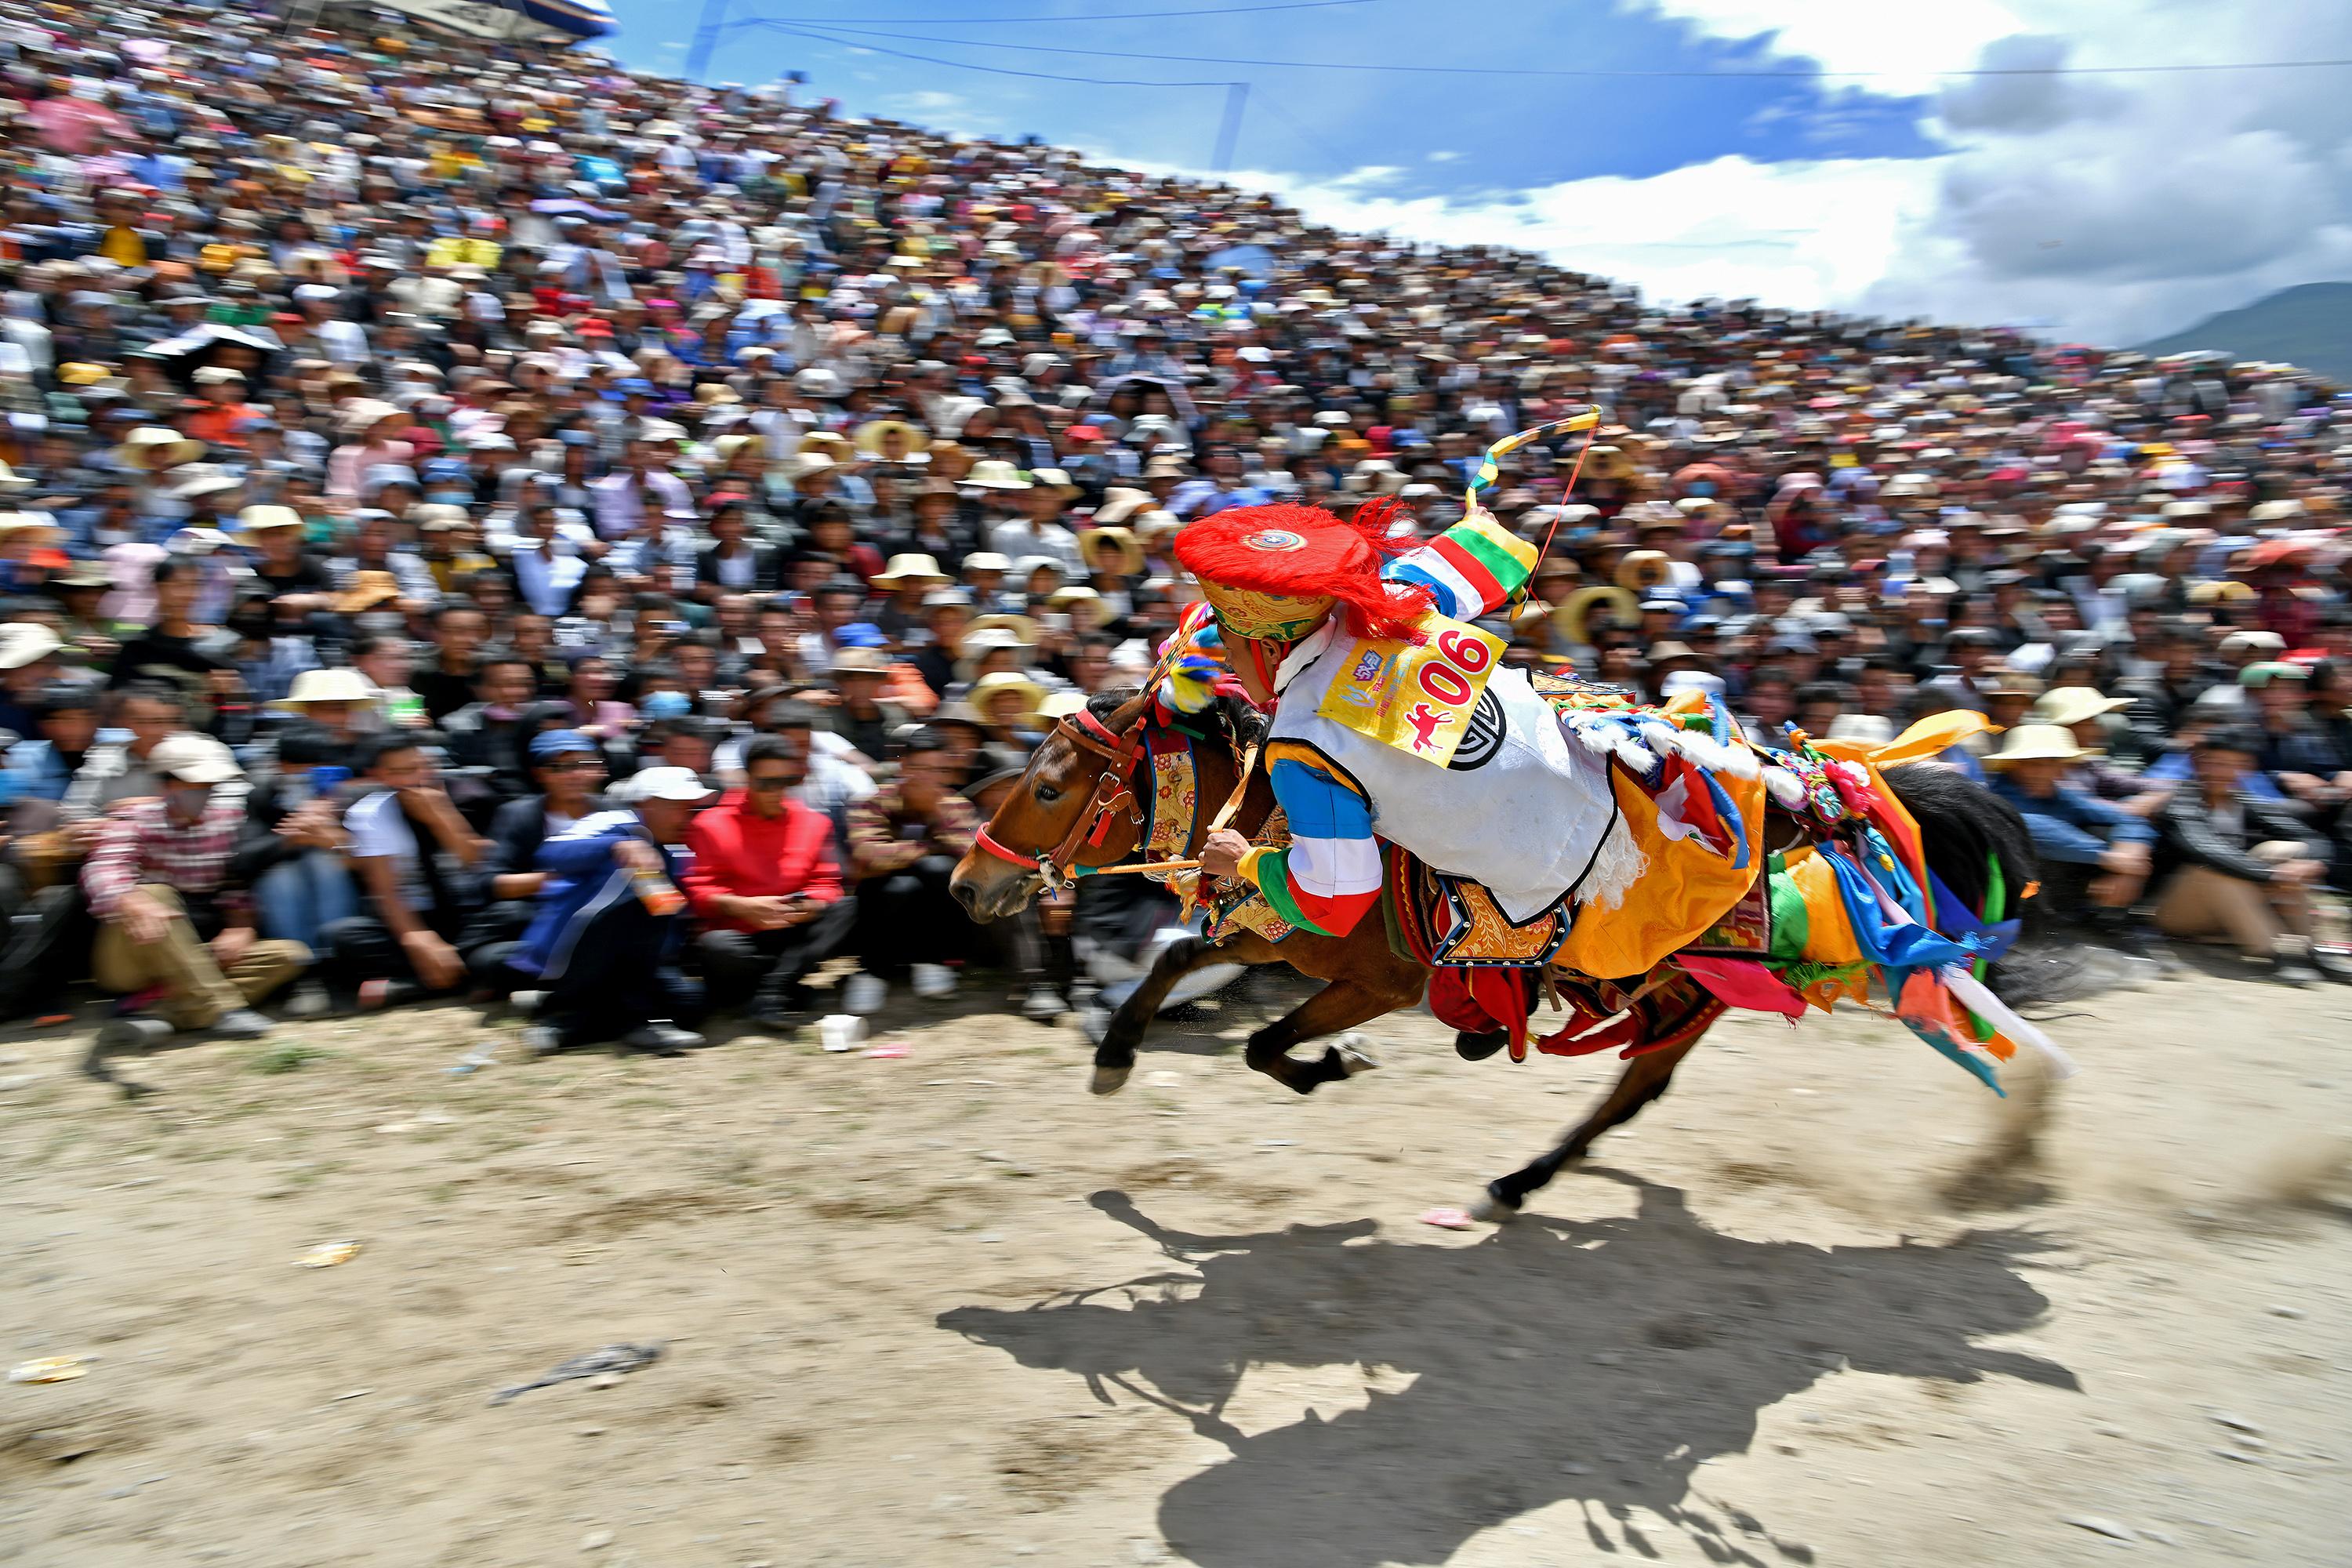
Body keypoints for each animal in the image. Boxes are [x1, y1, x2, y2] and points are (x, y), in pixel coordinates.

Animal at [950, 686, 2042, 1213]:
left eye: (1049, 787)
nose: (965, 885)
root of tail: (1815, 797)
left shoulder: (1377, 978)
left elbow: (1264, 1044)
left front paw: (1336, 1063)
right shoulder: (1284, 941)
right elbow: (1177, 961)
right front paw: (1112, 1056)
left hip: (1700, 986)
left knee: (1637, 1085)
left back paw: (1521, 1179)